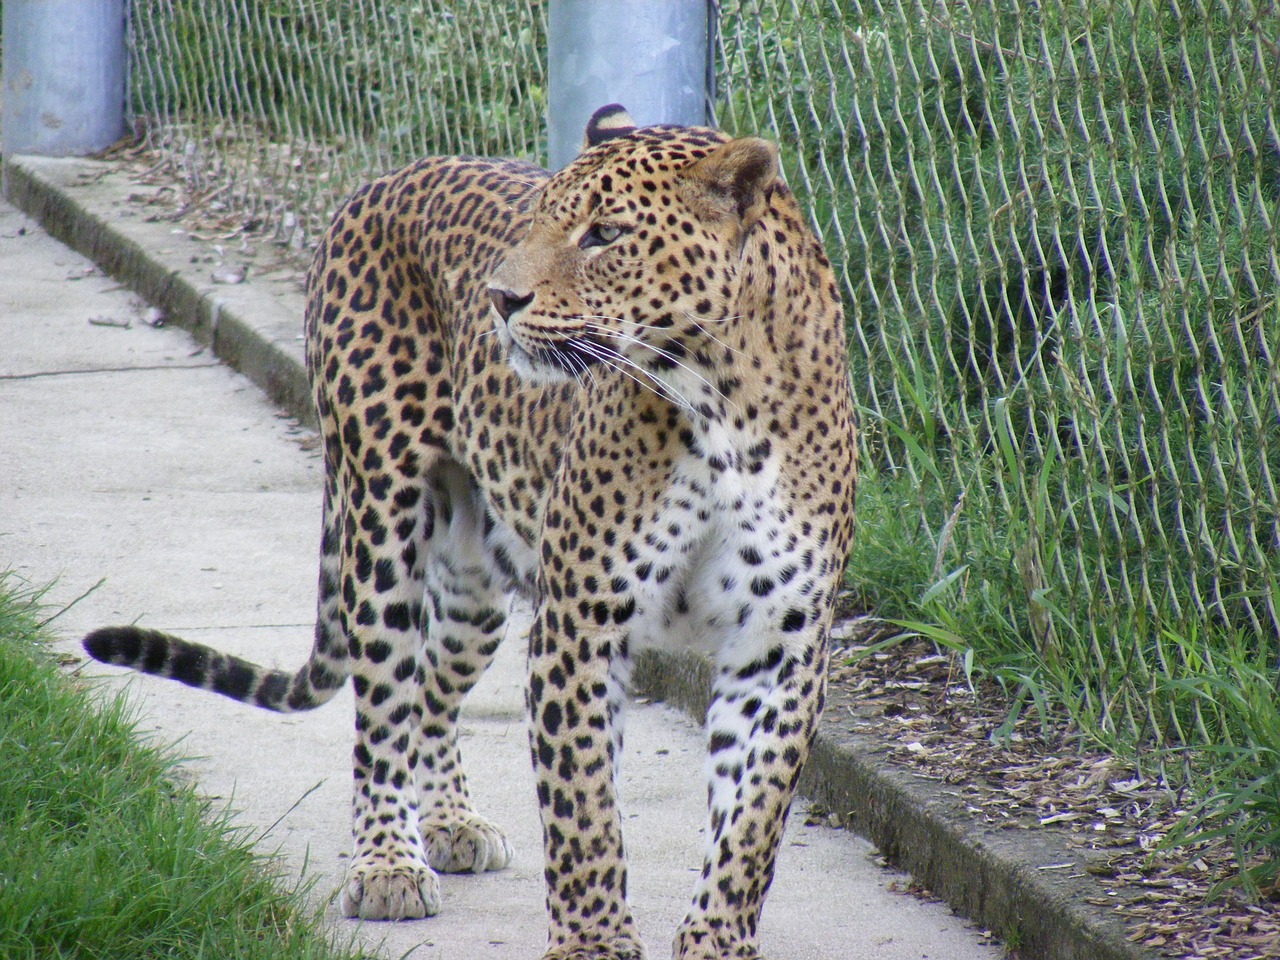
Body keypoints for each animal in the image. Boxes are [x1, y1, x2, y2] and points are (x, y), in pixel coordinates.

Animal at [82, 104, 860, 960]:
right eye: (541, 219)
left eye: (605, 234)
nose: (498, 298)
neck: (717, 396)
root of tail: (385, 179)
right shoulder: (580, 624)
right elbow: (584, 809)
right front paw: (592, 943)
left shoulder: (780, 644)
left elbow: (750, 825)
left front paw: (717, 940)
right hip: (380, 518)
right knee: (383, 705)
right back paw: (388, 862)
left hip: (476, 585)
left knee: (430, 689)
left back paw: (451, 822)